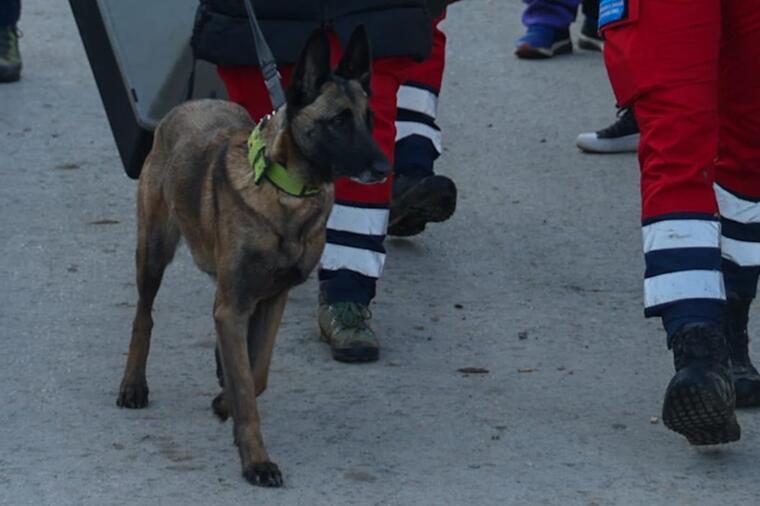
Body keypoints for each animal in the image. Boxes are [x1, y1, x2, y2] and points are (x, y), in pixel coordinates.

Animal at [116, 26, 388, 486]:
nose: (384, 168)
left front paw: (227, 398)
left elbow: (255, 374)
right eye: (338, 121)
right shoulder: (237, 300)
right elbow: (246, 385)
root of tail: (190, 103)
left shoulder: (271, 299)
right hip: (154, 250)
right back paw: (133, 384)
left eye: (369, 120)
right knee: (143, 315)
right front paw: (256, 461)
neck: (288, 194)